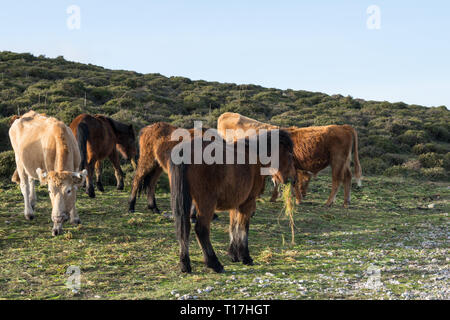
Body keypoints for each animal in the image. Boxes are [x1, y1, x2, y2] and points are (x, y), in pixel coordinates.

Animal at [169, 129, 296, 274]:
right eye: (290, 155)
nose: (293, 179)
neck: (254, 155)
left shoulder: (235, 203)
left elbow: (233, 227)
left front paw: (233, 255)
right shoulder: (247, 202)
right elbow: (243, 228)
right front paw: (245, 257)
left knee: (184, 229)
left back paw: (185, 264)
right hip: (206, 203)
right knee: (201, 229)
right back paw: (214, 263)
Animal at [218, 112, 362, 208]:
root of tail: (344, 127)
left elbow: (289, 181)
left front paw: (296, 199)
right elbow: (281, 181)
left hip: (337, 160)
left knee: (337, 179)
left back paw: (329, 202)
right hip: (344, 162)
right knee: (347, 177)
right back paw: (346, 202)